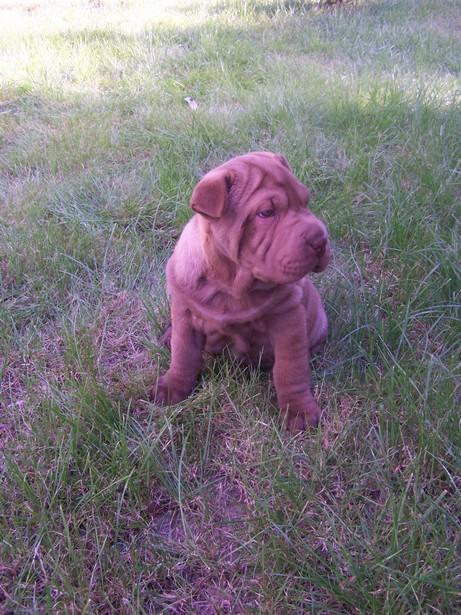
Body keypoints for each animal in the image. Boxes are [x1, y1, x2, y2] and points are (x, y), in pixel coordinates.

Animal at [153, 153, 328, 434]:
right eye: (266, 213)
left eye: (305, 201)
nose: (321, 240)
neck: (231, 282)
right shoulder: (184, 312)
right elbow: (183, 353)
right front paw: (172, 387)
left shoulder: (288, 318)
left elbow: (290, 368)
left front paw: (299, 409)